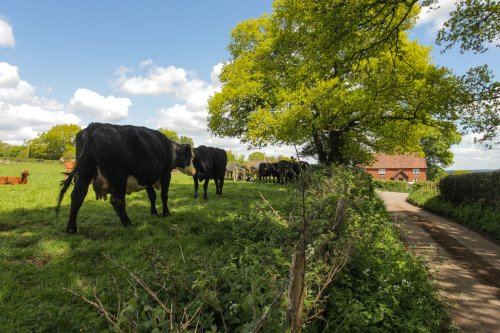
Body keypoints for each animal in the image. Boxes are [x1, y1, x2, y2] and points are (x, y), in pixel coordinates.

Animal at [55, 120, 194, 232]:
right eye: (192, 156)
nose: (194, 171)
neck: (171, 149)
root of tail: (94, 125)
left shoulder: (147, 178)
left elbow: (152, 197)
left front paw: (154, 212)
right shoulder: (165, 174)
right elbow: (164, 195)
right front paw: (166, 213)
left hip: (84, 172)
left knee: (77, 196)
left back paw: (71, 228)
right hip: (118, 175)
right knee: (117, 200)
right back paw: (128, 223)